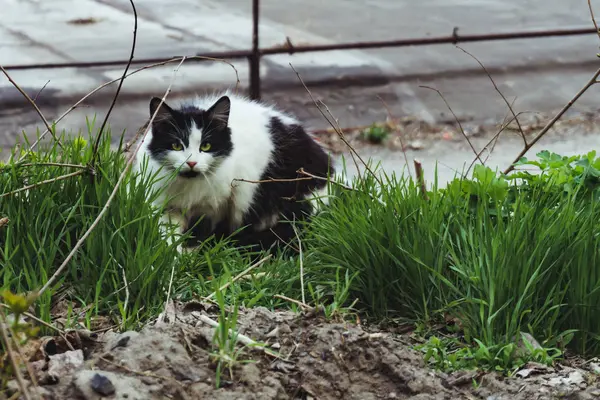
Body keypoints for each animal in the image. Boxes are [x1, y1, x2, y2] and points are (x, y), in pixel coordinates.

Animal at [131, 91, 336, 253]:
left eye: (206, 146)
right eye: (176, 145)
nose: (191, 162)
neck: (189, 189)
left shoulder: (217, 206)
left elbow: (201, 233)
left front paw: (192, 254)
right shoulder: (168, 208)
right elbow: (169, 236)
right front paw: (174, 257)